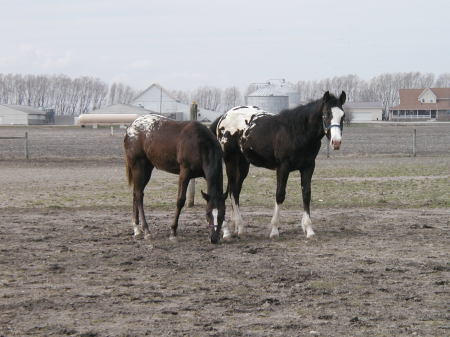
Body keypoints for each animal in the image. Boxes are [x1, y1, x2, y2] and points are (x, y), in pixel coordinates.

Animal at [123, 114, 227, 243]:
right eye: (208, 213)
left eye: (222, 214)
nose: (214, 238)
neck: (200, 144)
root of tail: (130, 128)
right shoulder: (185, 172)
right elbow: (180, 200)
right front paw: (173, 231)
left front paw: (226, 231)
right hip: (139, 166)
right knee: (138, 195)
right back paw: (146, 230)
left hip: (147, 168)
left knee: (136, 193)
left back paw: (136, 228)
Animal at [209, 90, 346, 239]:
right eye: (326, 114)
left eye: (342, 116)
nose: (336, 142)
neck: (296, 132)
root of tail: (224, 116)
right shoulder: (283, 167)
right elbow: (280, 194)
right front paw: (274, 230)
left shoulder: (308, 167)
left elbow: (306, 194)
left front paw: (309, 229)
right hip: (230, 160)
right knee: (232, 190)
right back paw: (231, 229)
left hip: (243, 163)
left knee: (235, 190)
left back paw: (237, 227)